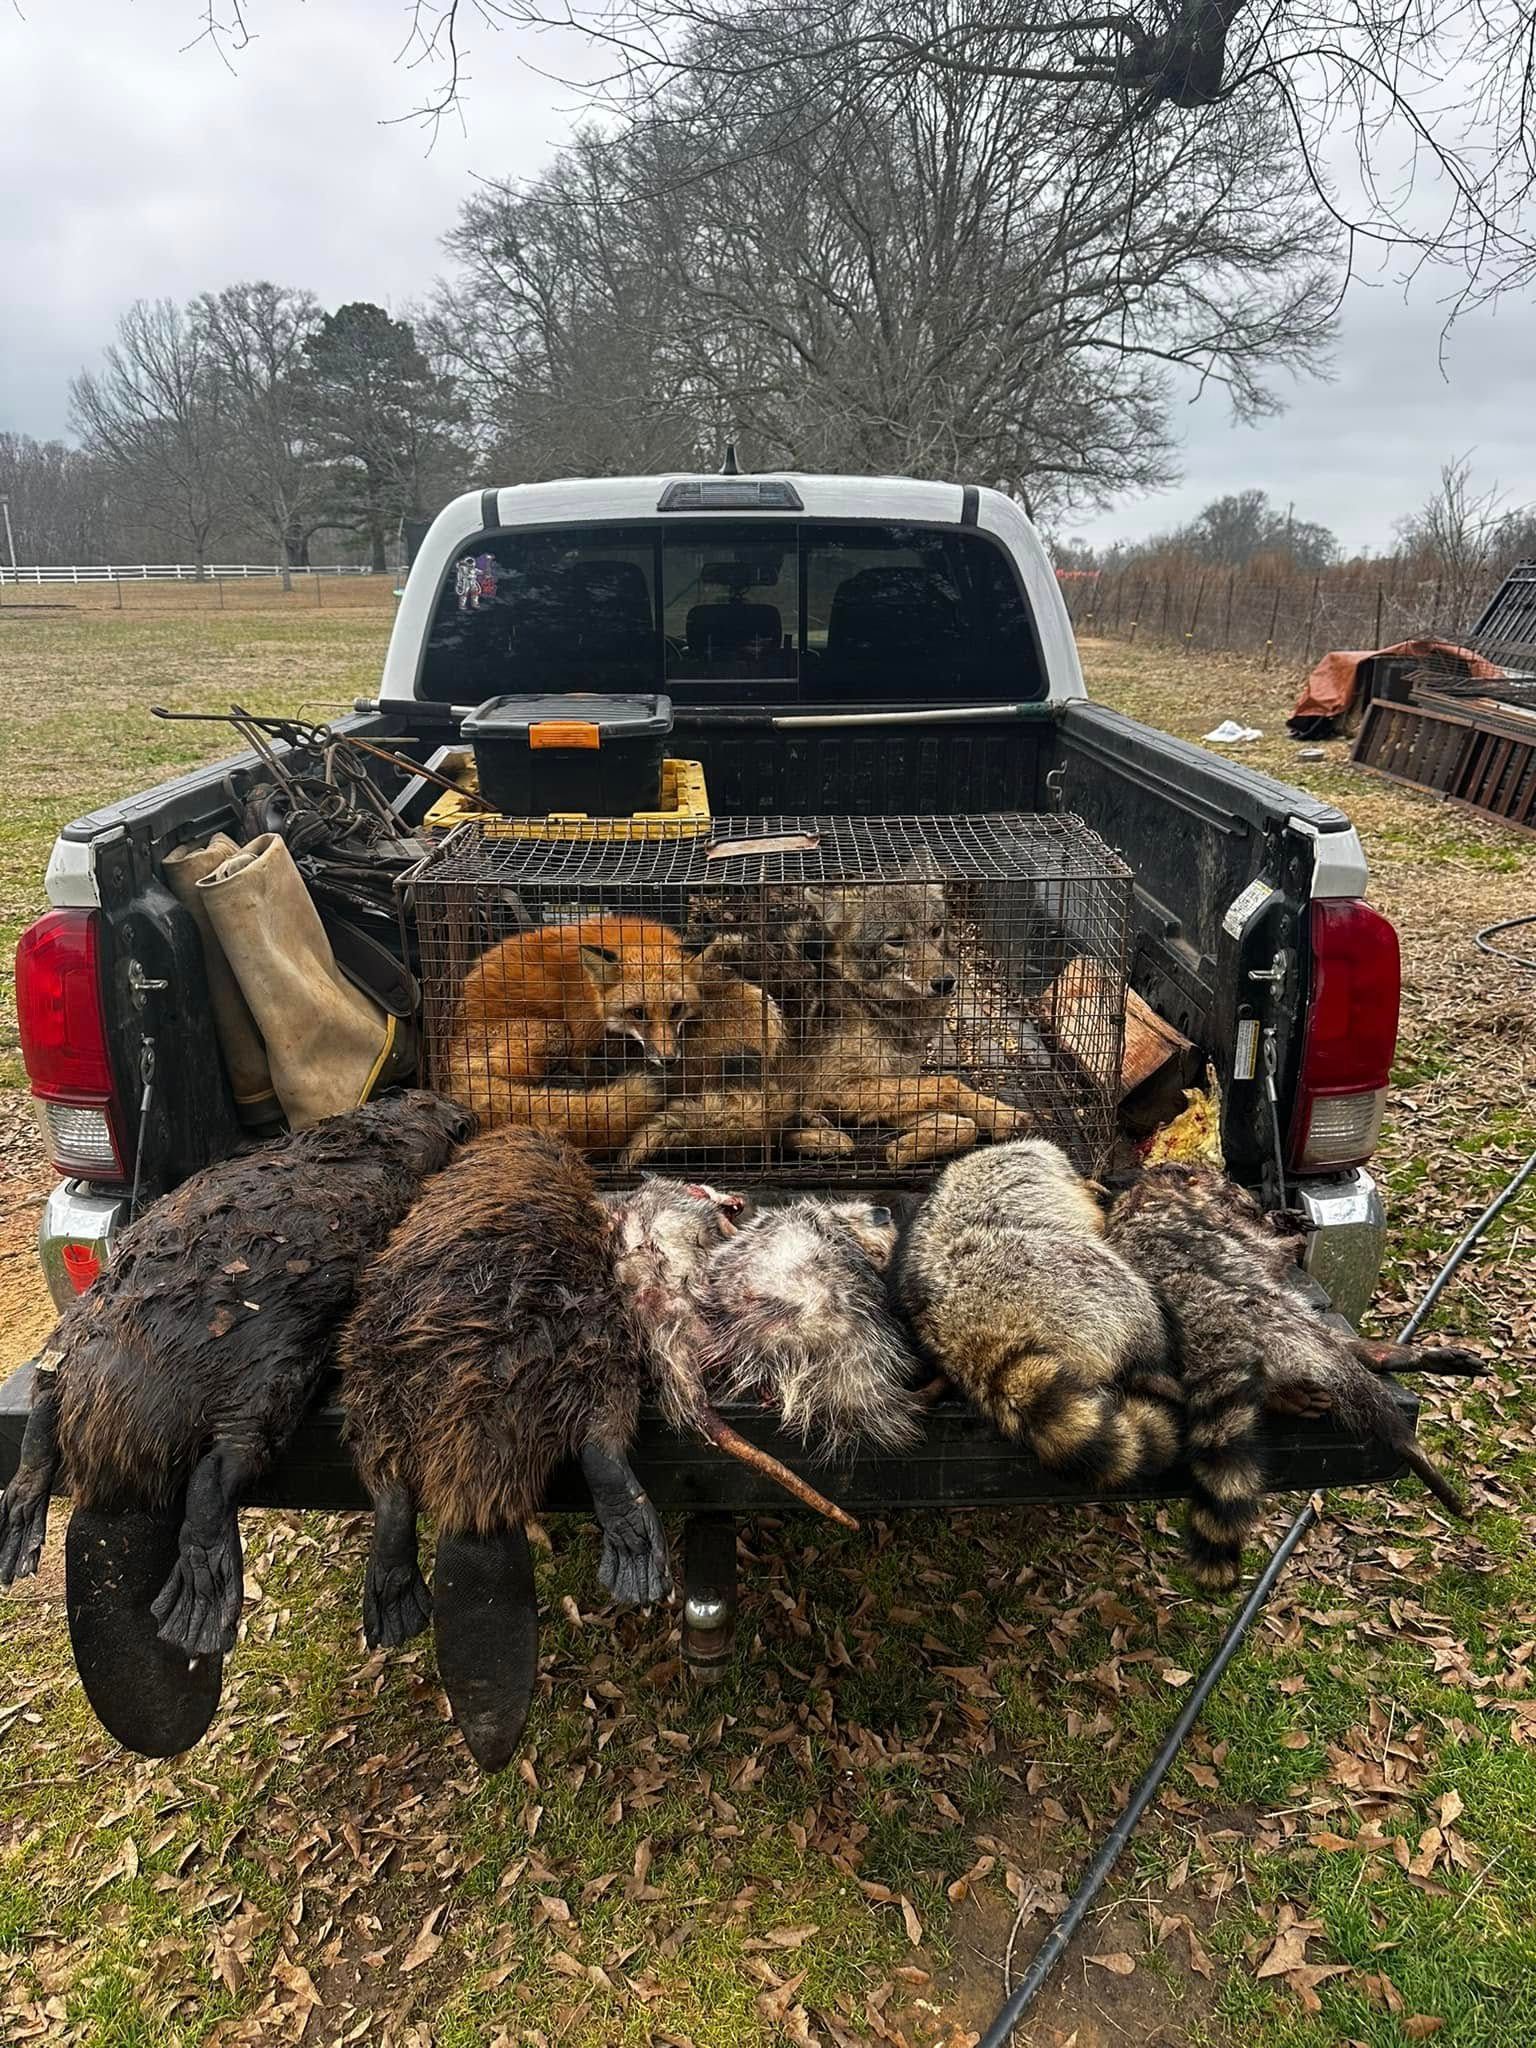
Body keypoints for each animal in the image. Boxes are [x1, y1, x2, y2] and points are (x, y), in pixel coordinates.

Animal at [1107, 1162, 1470, 1585]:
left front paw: (1282, 1218)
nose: (1252, 1197)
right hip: (1275, 1320)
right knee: (1345, 1371)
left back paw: (1377, 1356)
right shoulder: (1223, 1224)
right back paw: (1403, 1438)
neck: (1152, 1188)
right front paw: (1282, 1227)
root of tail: (1201, 1324)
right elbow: (1270, 1245)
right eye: (1232, 1185)